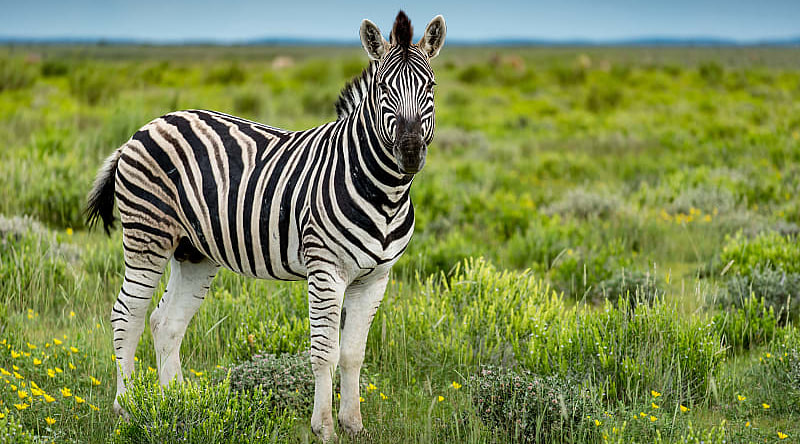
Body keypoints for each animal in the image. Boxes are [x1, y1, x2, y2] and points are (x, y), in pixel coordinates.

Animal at [85, 11, 445, 441]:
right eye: (382, 88)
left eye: (430, 87)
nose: (409, 152)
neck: (384, 191)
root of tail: (147, 126)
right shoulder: (326, 270)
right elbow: (324, 352)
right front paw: (324, 427)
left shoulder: (375, 278)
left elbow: (353, 353)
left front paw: (354, 424)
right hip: (147, 235)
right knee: (128, 315)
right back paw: (128, 408)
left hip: (194, 252)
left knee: (165, 323)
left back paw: (176, 405)